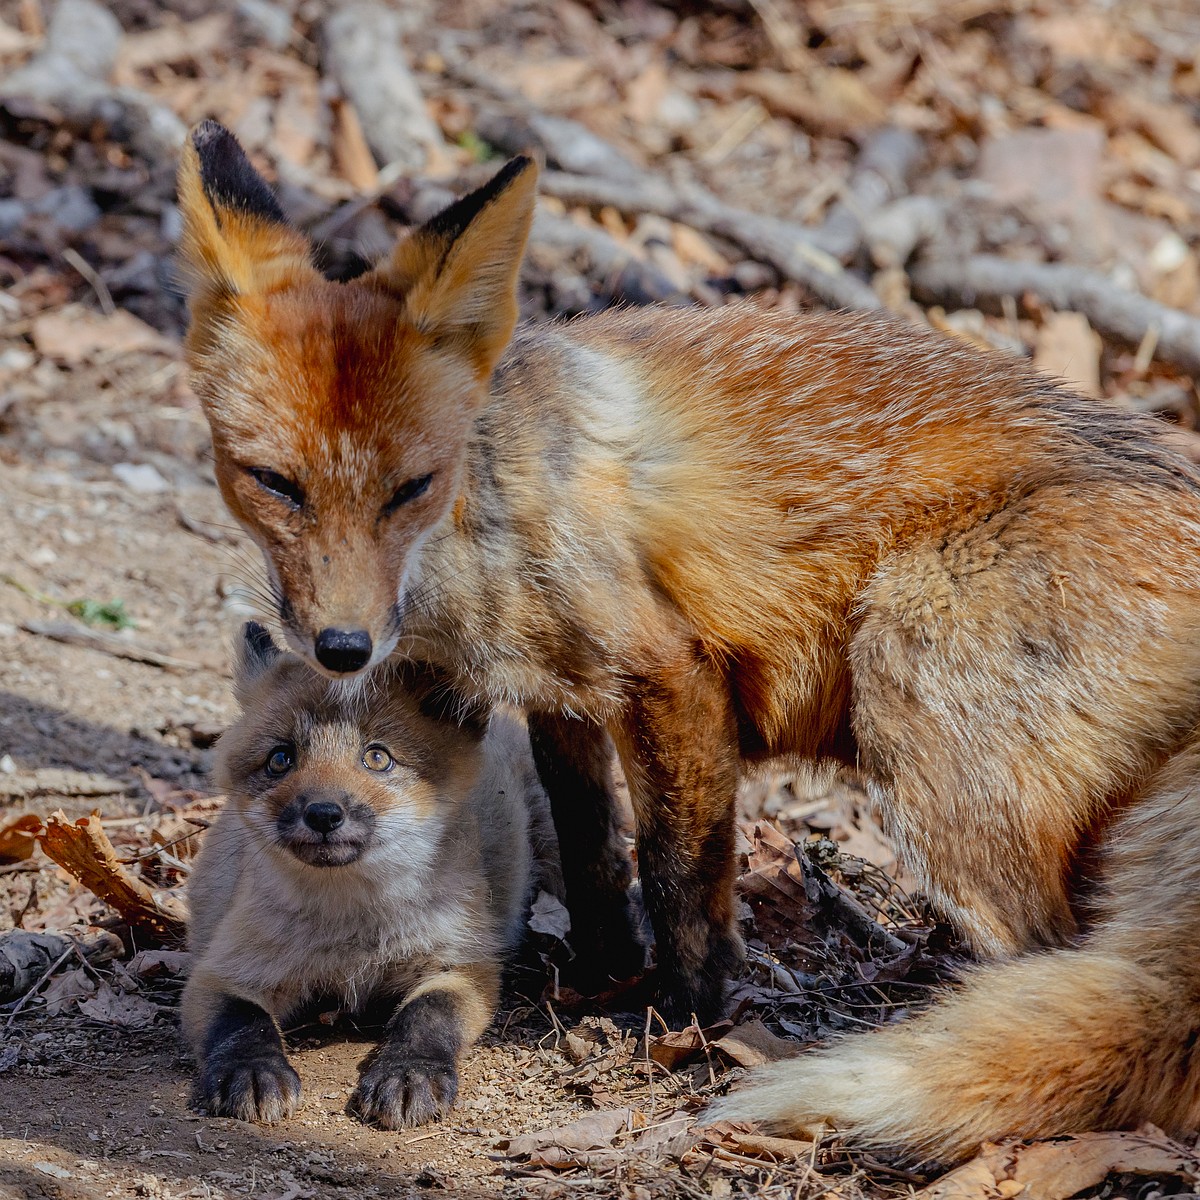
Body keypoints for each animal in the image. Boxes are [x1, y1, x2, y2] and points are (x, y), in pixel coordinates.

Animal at [177, 119, 1200, 1152]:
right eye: (274, 483)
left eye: (410, 489)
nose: (342, 648)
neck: (483, 525)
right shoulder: (555, 691)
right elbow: (593, 848)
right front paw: (600, 970)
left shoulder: (668, 673)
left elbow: (678, 875)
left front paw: (690, 1015)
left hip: (915, 684)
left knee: (1041, 954)